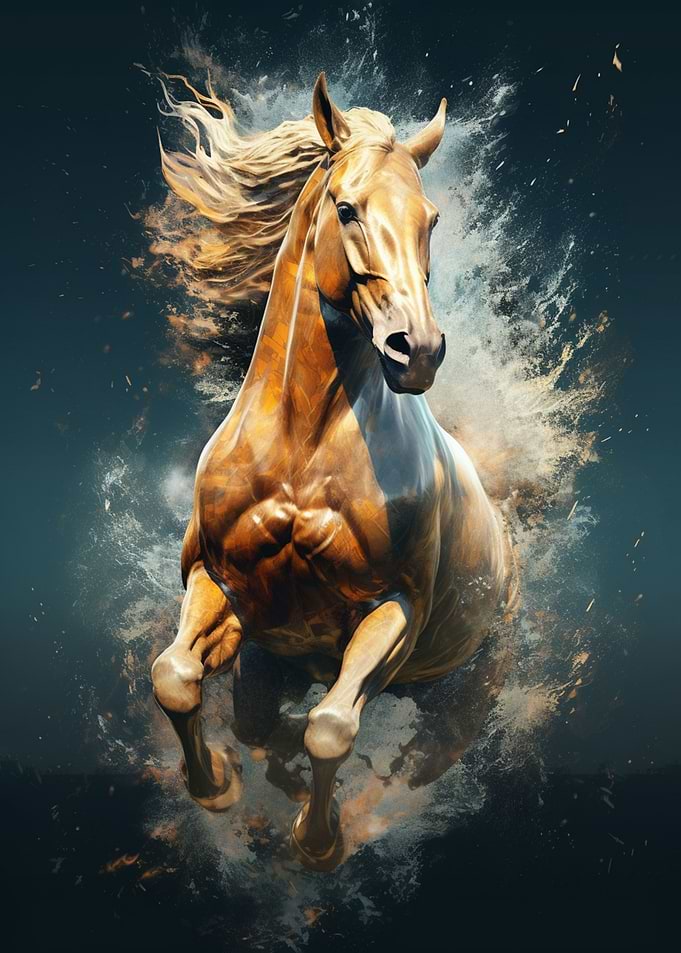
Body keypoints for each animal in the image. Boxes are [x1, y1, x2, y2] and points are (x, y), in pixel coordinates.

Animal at [151, 73, 517, 871]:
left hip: (460, 692)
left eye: (430, 218)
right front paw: (215, 785)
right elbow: (175, 676)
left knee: (418, 763)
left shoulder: (395, 610)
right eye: (346, 208)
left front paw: (317, 844)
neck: (301, 450)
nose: (418, 350)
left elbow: (330, 729)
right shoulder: (218, 583)